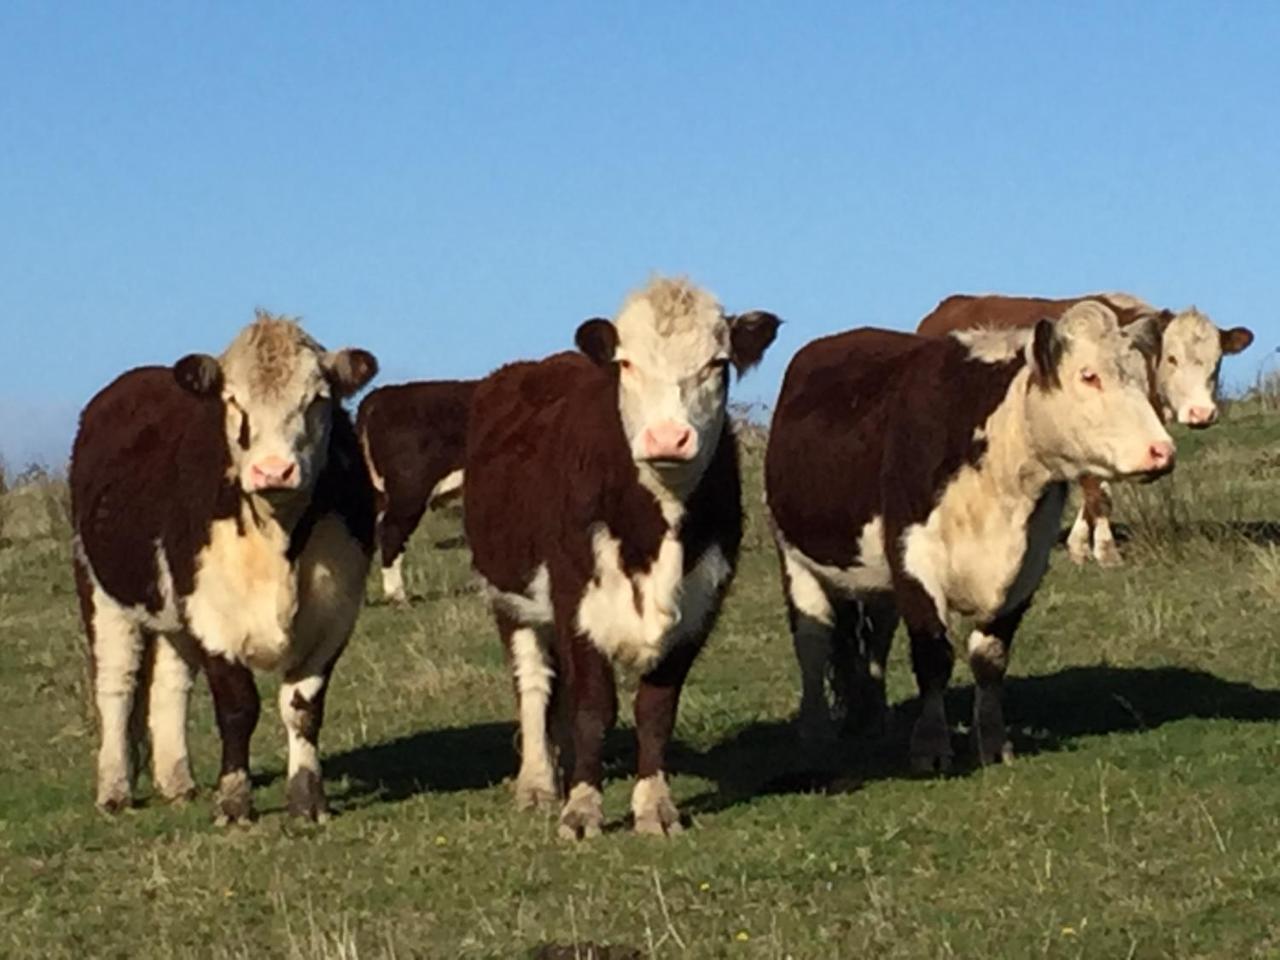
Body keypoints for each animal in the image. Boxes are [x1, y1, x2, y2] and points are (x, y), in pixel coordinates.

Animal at [70, 312, 376, 824]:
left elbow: (303, 707)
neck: (279, 541)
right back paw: (114, 790)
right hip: (102, 593)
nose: (273, 471)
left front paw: (307, 799)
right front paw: (234, 802)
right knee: (117, 685)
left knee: (169, 686)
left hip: (173, 615)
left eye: (318, 399)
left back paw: (178, 782)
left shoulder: (334, 616)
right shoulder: (212, 616)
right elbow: (238, 708)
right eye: (234, 400)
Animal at [463, 273, 773, 839]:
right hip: (509, 598)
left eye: (717, 364)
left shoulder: (701, 603)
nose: (668, 437)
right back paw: (538, 783)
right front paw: (582, 809)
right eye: (627, 364)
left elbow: (655, 709)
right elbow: (591, 707)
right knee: (534, 683)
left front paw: (655, 807)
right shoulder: (574, 596)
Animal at [762, 304, 1172, 773]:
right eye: (1088, 376)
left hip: (875, 579)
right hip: (796, 559)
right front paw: (930, 748)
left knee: (875, 641)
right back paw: (816, 732)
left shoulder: (1027, 568)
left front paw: (994, 743)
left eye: (1142, 378)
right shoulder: (913, 558)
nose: (1162, 451)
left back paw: (874, 720)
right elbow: (933, 656)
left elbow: (990, 657)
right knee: (812, 642)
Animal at [916, 289, 1254, 568]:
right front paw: (1106, 552)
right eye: (1172, 358)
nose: (1202, 413)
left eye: (1217, 361)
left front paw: (1079, 546)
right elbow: (1098, 494)